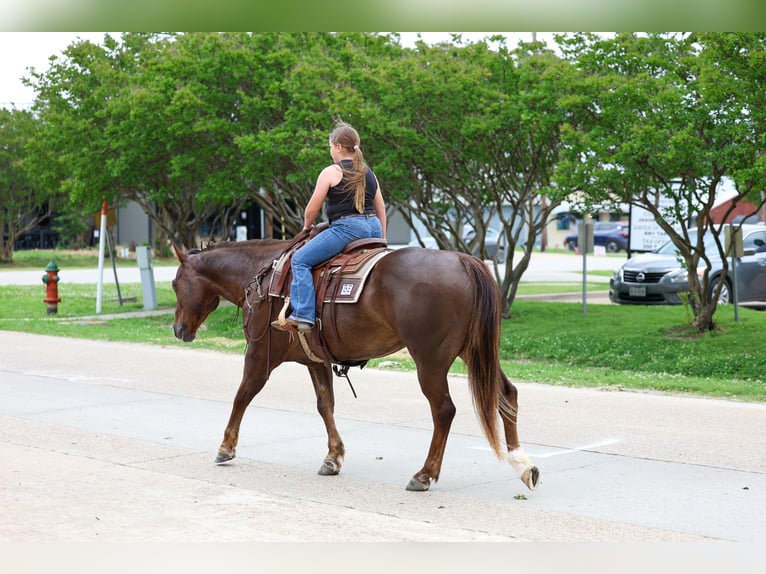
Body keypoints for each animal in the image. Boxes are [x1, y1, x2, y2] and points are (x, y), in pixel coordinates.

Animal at [171, 236, 539, 492]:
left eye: (175, 284)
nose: (178, 329)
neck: (262, 275)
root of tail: (463, 261)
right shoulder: (315, 361)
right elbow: (325, 405)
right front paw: (333, 457)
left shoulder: (260, 354)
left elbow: (242, 395)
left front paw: (226, 447)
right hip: (474, 351)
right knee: (506, 395)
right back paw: (522, 464)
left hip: (430, 362)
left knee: (444, 410)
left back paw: (425, 475)